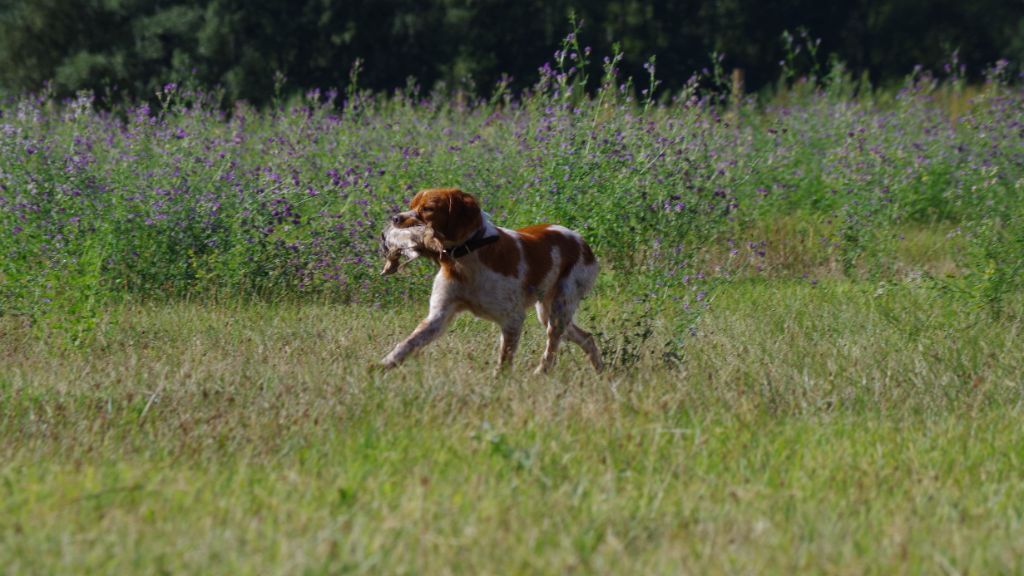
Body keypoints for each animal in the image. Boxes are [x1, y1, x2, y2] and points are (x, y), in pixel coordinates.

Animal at [380, 187, 602, 373]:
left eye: (428, 209)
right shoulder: (439, 315)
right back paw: (600, 371)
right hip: (547, 312)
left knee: (552, 349)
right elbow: (407, 344)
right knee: (586, 337)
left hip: (558, 310)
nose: (395, 218)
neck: (467, 259)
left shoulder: (513, 318)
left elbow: (504, 362)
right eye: (412, 205)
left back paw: (541, 374)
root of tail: (582, 241)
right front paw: (381, 367)